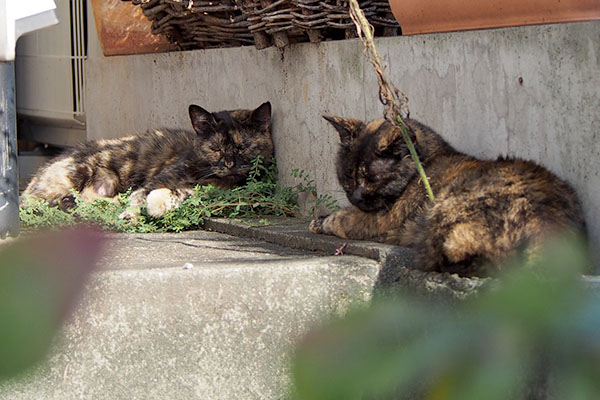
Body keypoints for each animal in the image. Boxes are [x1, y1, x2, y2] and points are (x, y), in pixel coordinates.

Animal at [312, 115, 584, 276]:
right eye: (348, 175)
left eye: (371, 178)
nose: (356, 197)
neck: (428, 163)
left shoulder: (383, 220)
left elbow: (344, 219)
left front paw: (322, 222)